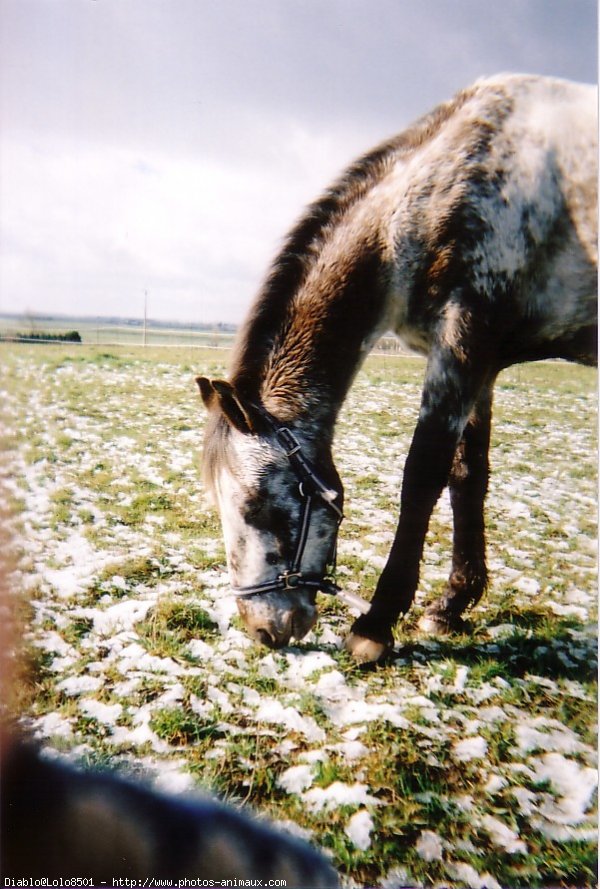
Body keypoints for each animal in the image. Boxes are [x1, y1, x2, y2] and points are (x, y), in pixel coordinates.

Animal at [197, 74, 596, 660]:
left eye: (258, 508)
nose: (265, 631)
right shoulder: (482, 365)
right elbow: (467, 477)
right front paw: (451, 605)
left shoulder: (463, 343)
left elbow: (423, 475)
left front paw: (376, 624)